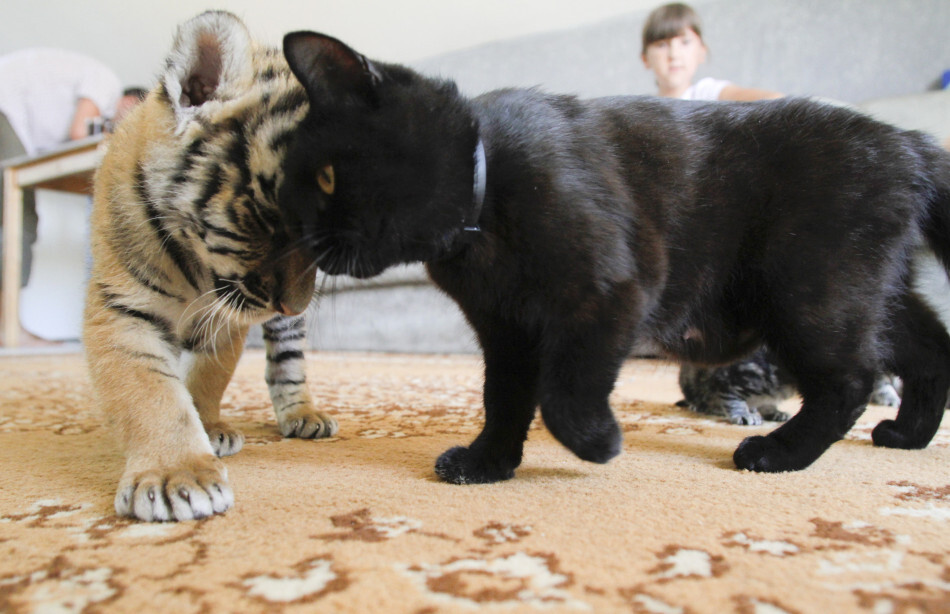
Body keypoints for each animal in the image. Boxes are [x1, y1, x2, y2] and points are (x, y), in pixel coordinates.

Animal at [278, 32, 950, 486]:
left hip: (810, 287)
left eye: (328, 178)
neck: (486, 190)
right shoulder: (506, 328)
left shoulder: (610, 292)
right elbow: (504, 397)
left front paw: (597, 443)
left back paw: (778, 453)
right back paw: (907, 435)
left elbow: (564, 388)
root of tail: (908, 142)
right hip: (870, 293)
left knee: (849, 379)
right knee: (929, 348)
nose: (301, 234)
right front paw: (488, 462)